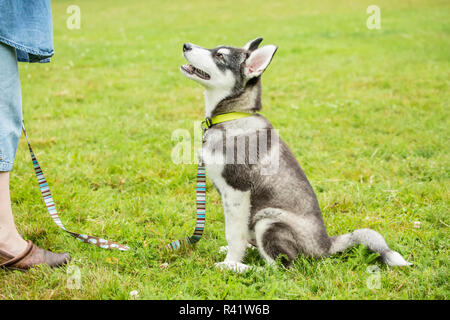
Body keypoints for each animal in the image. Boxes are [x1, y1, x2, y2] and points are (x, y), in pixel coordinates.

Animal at [179, 37, 412, 272]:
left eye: (220, 56)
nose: (186, 45)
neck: (233, 116)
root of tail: (326, 245)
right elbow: (236, 235)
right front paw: (231, 254)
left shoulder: (238, 191)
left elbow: (234, 234)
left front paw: (231, 261)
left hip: (268, 220)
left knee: (279, 268)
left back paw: (239, 268)